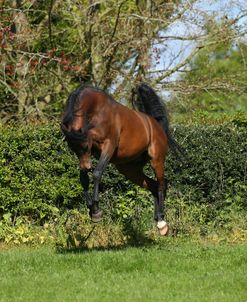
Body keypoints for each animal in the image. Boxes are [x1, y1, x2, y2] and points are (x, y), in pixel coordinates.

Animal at [60, 83, 182, 236]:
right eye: (72, 148)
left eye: (85, 146)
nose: (86, 166)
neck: (96, 111)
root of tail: (155, 124)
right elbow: (84, 179)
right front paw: (91, 210)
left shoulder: (108, 145)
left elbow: (96, 173)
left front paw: (96, 211)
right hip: (129, 169)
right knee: (153, 185)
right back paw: (158, 219)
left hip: (156, 160)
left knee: (161, 185)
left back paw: (162, 223)